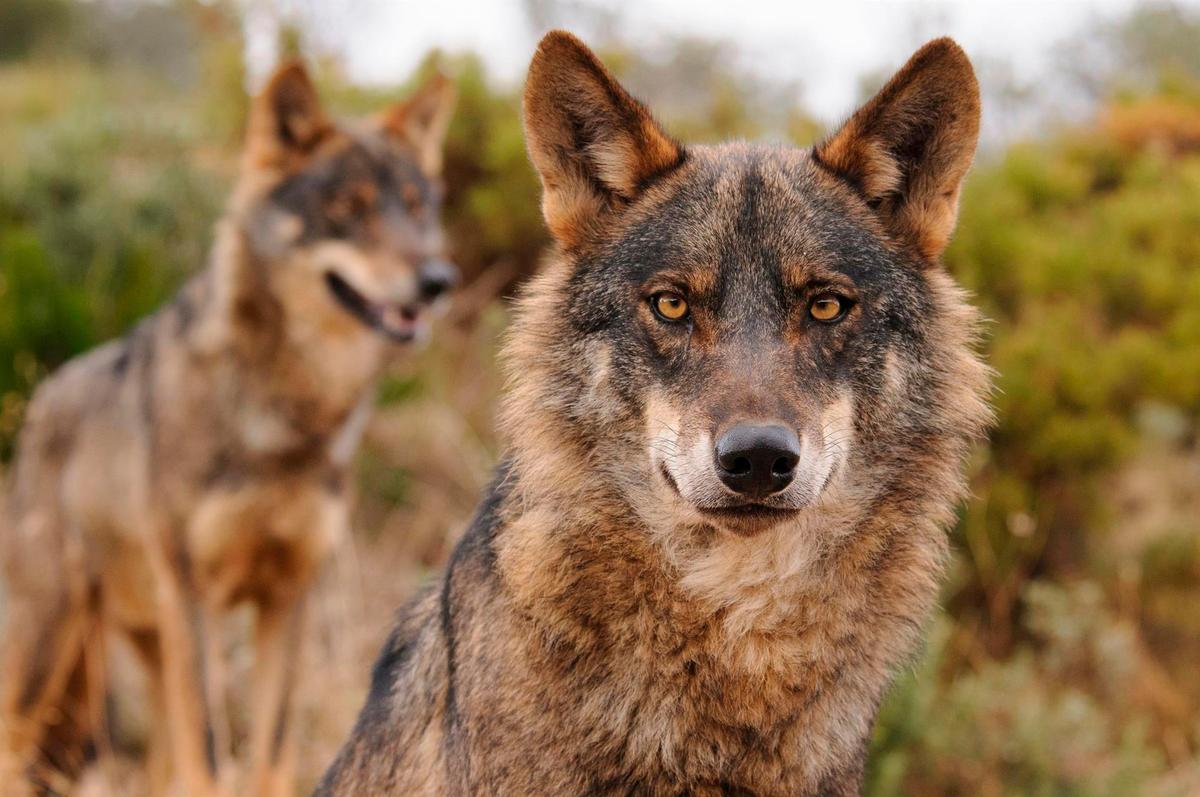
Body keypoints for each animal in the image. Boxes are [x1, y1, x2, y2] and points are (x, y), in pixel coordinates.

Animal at [0, 62, 456, 797]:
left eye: (415, 207)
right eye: (349, 208)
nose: (439, 280)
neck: (285, 418)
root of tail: (41, 396)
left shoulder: (287, 598)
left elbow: (269, 753)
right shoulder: (197, 599)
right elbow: (212, 757)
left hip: (145, 649)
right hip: (52, 644)